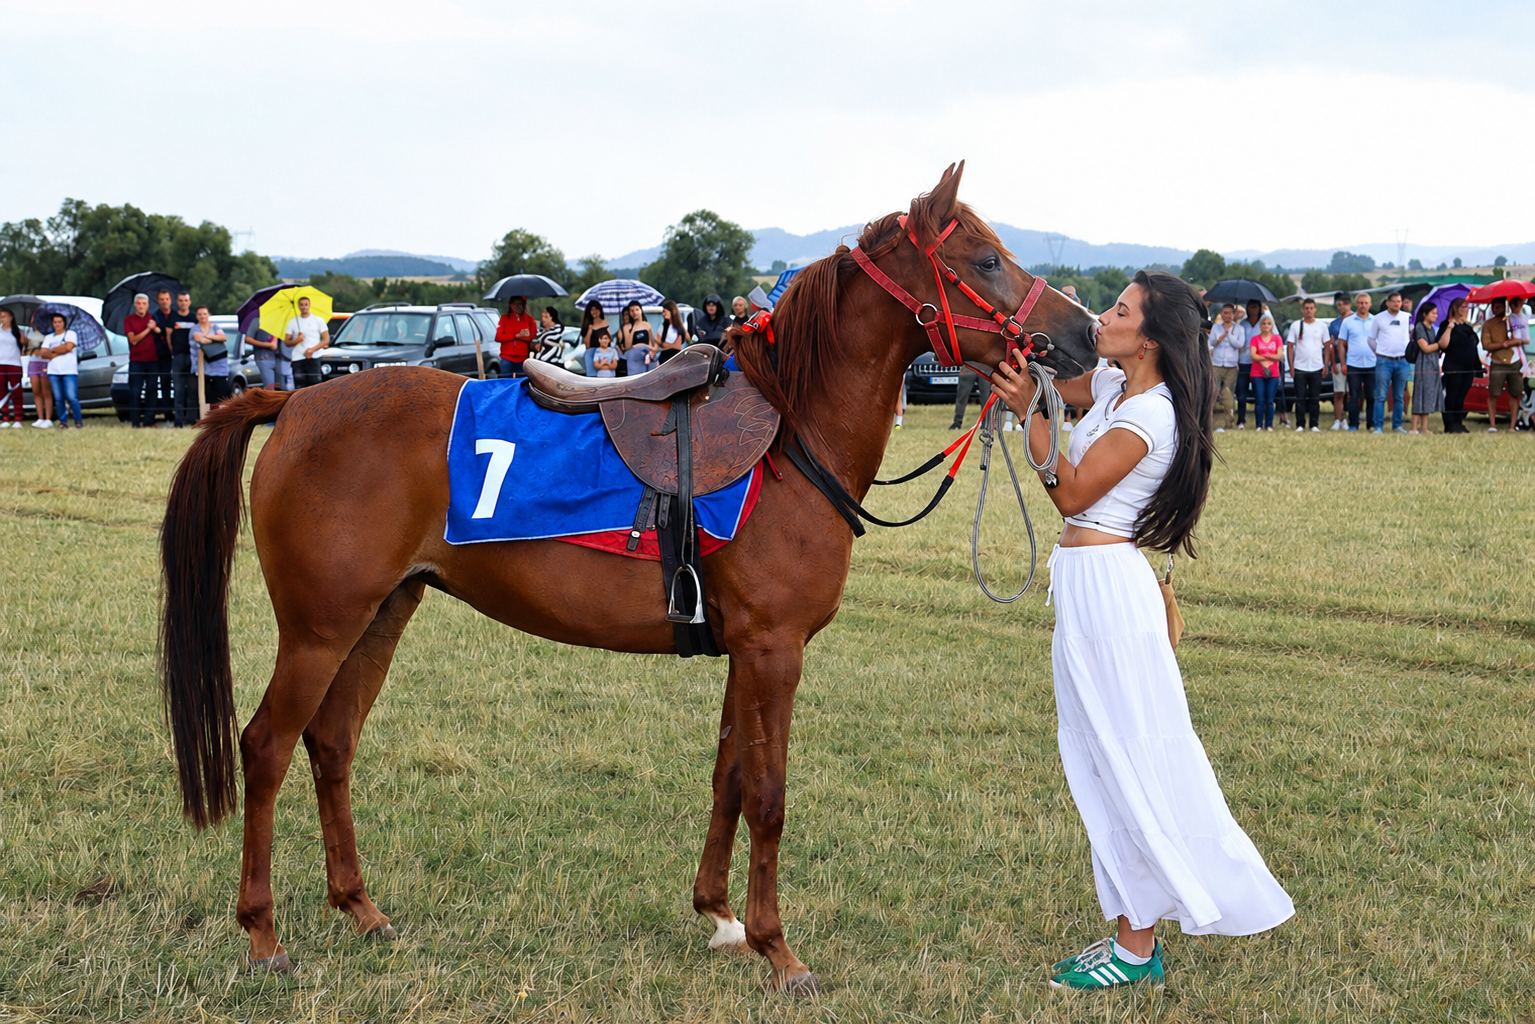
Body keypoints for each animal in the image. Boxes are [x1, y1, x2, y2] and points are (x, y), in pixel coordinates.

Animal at [159, 162, 1099, 994]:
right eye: (984, 259)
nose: (1085, 334)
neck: (790, 434)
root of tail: (297, 401)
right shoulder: (775, 651)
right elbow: (768, 795)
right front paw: (779, 951)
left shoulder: (743, 653)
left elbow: (728, 777)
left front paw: (721, 916)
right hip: (319, 627)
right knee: (266, 746)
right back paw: (264, 936)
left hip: (381, 613)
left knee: (331, 743)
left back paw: (360, 908)